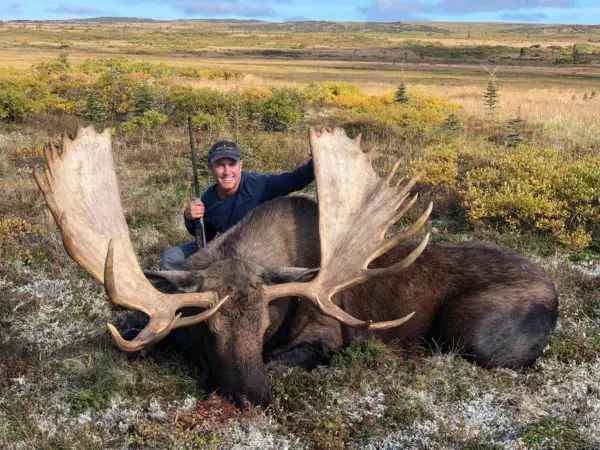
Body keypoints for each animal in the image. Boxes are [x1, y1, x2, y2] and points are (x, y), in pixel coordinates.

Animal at [34, 126, 558, 408]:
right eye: (208, 330)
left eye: (266, 322)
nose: (255, 399)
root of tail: (556, 294)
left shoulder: (325, 333)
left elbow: (289, 356)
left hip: (471, 335)